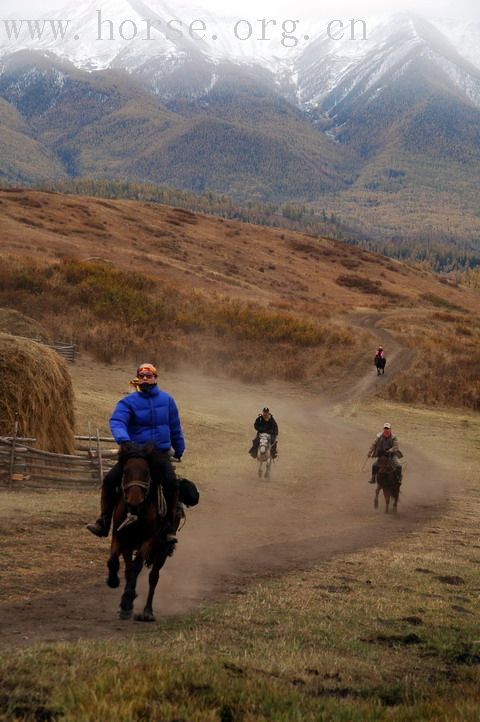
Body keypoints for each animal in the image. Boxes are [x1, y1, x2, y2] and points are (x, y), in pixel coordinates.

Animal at [106, 442, 181, 620]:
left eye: (146, 472)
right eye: (125, 471)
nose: (134, 501)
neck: (136, 513)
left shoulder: (148, 541)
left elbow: (136, 567)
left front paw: (128, 600)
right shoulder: (120, 538)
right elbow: (115, 563)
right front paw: (114, 582)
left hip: (161, 551)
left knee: (153, 577)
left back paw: (147, 611)